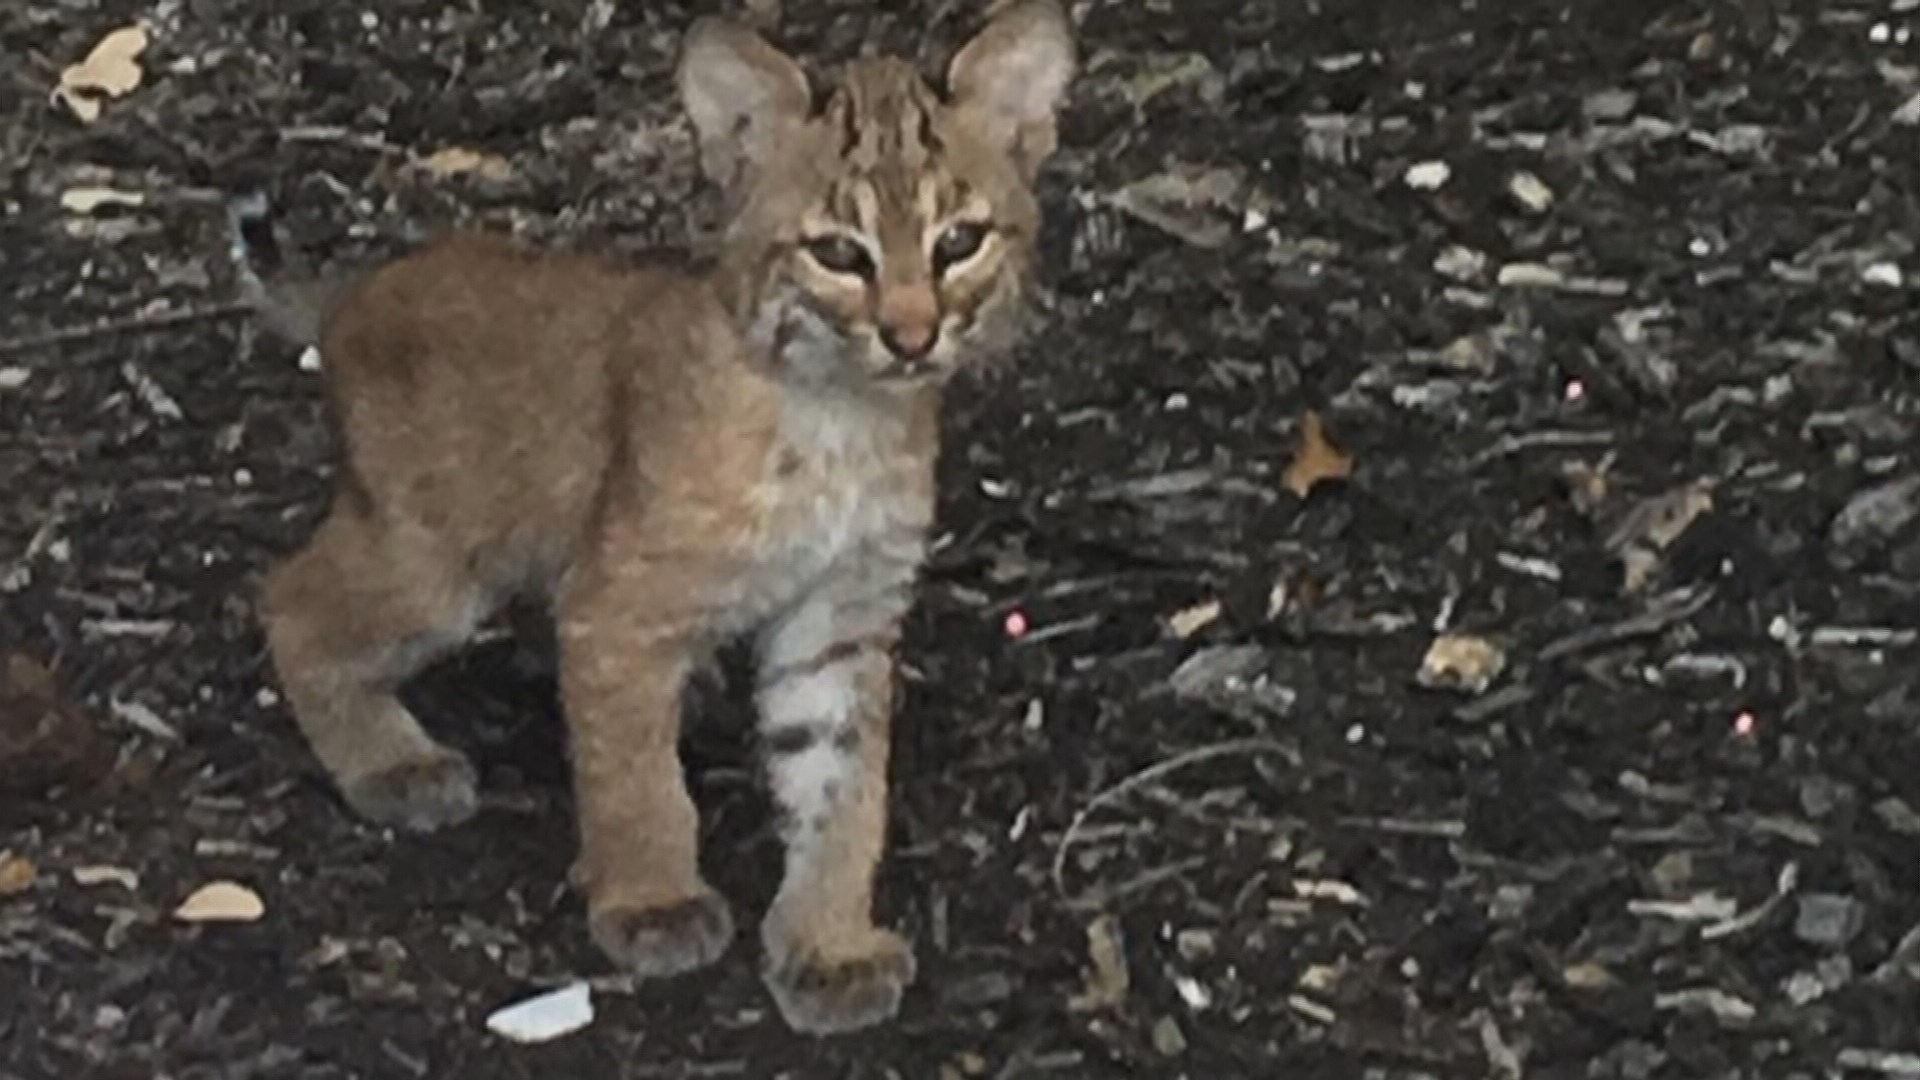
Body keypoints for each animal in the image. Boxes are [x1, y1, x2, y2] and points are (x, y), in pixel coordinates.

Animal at [249, 0, 1075, 1030]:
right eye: (840, 253)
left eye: (959, 242)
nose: (912, 337)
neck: (842, 414)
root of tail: (361, 288)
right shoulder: (622, 607)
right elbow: (637, 772)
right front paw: (652, 899)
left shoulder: (842, 615)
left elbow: (842, 786)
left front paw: (827, 941)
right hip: (434, 570)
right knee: (287, 597)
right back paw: (389, 763)